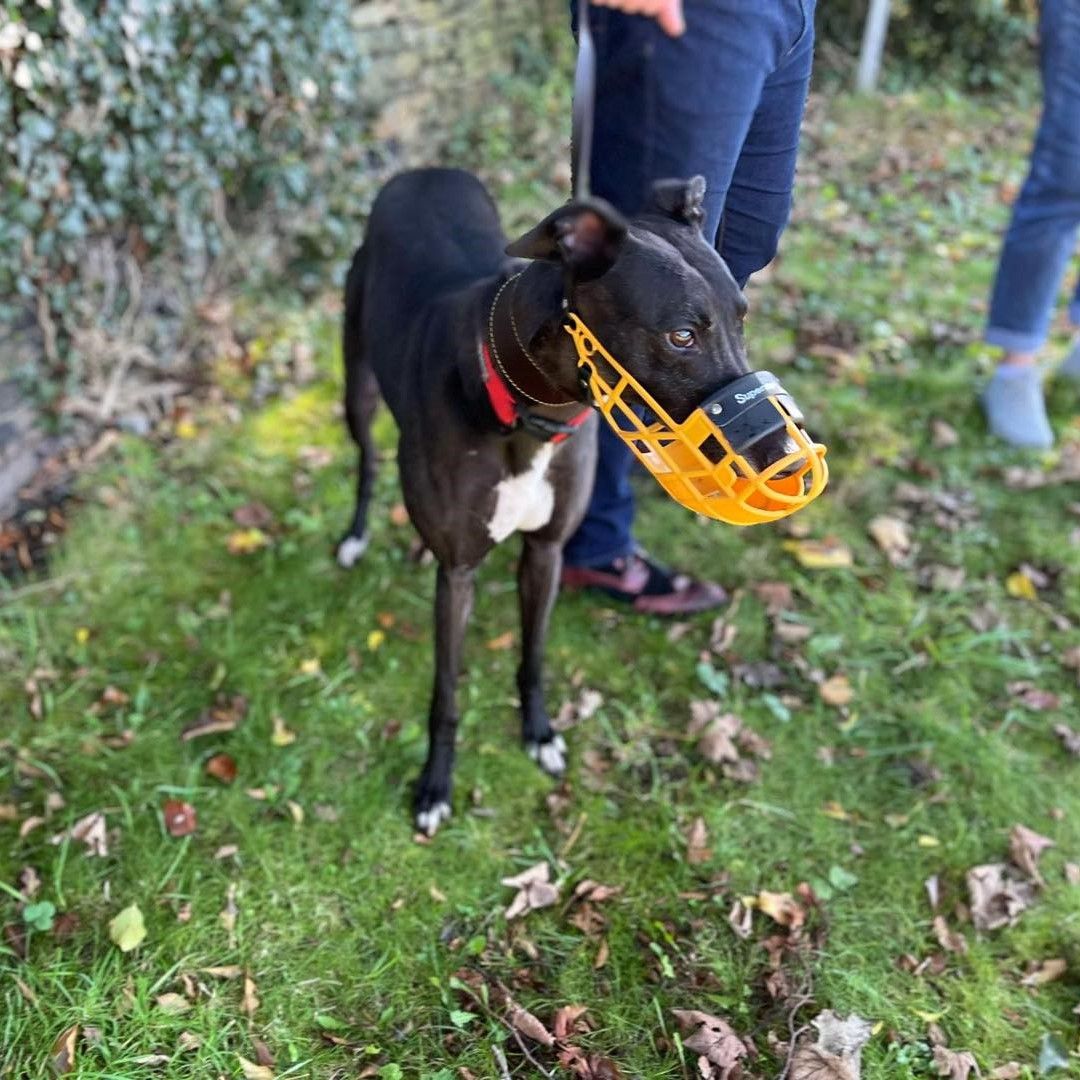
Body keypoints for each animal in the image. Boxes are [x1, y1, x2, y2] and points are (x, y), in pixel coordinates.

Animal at [336, 168, 803, 838]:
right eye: (681, 334)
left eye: (742, 317)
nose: (785, 459)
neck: (526, 411)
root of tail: (423, 173)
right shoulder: (460, 572)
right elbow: (446, 692)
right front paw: (435, 786)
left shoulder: (546, 551)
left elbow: (533, 655)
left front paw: (539, 734)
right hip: (358, 382)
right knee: (368, 457)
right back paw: (354, 536)